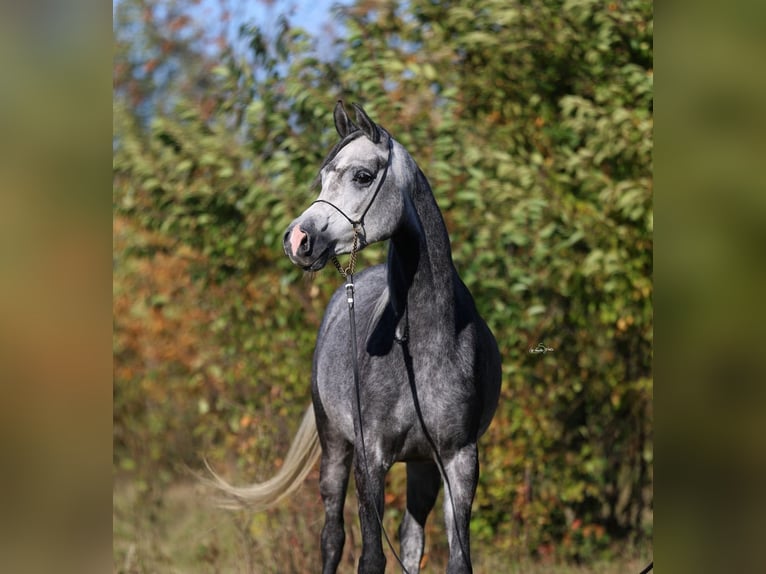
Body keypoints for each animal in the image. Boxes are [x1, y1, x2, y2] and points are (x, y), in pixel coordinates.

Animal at [210, 102, 501, 574]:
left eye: (362, 176)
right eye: (323, 177)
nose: (297, 239)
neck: (421, 343)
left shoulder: (459, 459)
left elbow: (457, 559)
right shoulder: (371, 458)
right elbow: (369, 556)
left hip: (421, 465)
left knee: (411, 539)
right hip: (334, 446)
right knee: (332, 535)